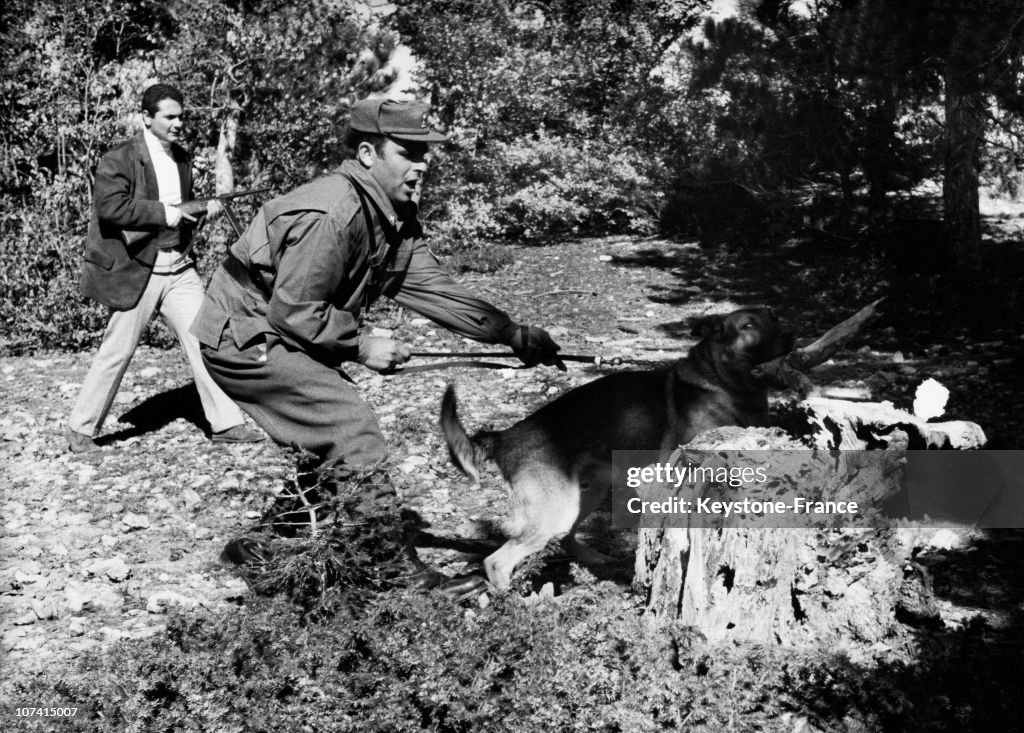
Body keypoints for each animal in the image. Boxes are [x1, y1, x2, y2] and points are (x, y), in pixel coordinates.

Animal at [438, 305, 790, 589]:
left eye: (772, 317)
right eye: (747, 325)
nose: (790, 333)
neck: (723, 383)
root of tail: (505, 436)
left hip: (587, 496)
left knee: (566, 539)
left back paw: (594, 559)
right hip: (556, 512)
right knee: (496, 562)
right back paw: (516, 603)